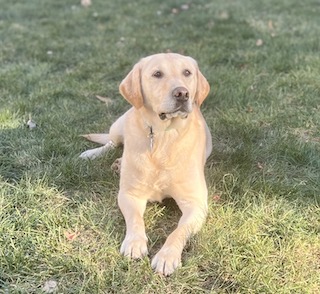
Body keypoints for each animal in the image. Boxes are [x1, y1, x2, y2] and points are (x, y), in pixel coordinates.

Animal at [80, 52, 211, 276]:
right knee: (112, 142)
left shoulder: (196, 204)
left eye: (187, 72)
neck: (162, 136)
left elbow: (178, 231)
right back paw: (95, 154)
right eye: (157, 74)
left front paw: (167, 256)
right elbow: (135, 219)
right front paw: (134, 243)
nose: (182, 94)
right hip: (119, 125)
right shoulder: (129, 194)